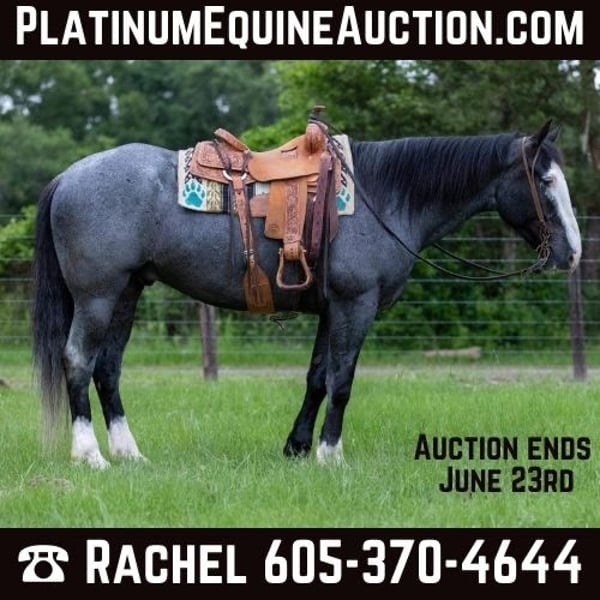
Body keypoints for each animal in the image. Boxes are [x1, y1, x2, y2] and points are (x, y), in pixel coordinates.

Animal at [31, 119, 581, 468]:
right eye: (545, 179)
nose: (573, 253)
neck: (384, 196)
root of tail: (68, 176)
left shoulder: (331, 309)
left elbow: (317, 378)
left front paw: (297, 447)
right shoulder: (356, 305)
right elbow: (342, 381)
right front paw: (330, 454)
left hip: (126, 293)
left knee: (107, 368)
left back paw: (129, 453)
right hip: (97, 296)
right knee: (78, 360)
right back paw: (90, 455)